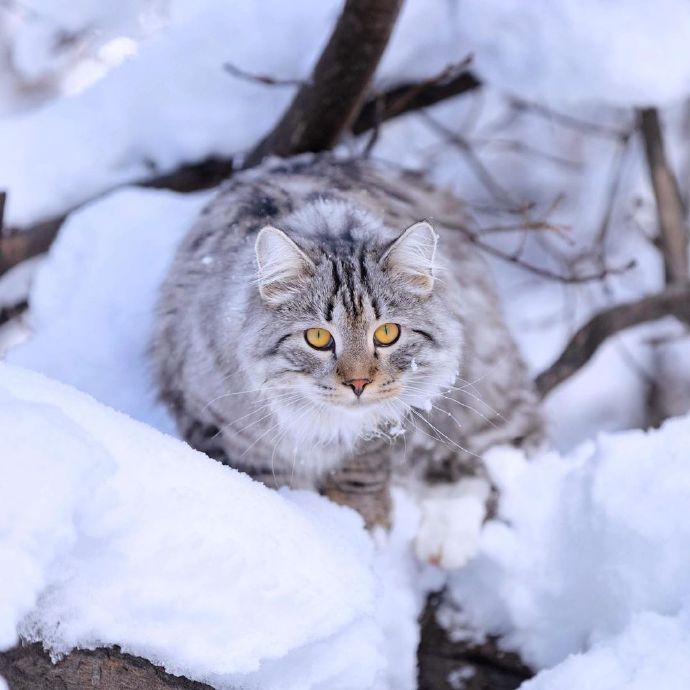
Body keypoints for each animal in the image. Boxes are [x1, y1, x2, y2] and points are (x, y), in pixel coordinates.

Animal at [149, 153, 536, 524]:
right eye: (318, 337)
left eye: (387, 333)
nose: (359, 383)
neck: (320, 428)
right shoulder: (224, 428)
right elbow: (275, 489)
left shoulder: (385, 429)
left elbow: (361, 479)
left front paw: (357, 528)